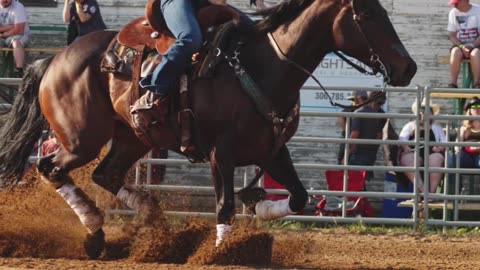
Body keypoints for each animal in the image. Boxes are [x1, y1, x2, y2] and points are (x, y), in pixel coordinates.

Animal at [0, 0, 414, 258]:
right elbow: (224, 205)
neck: (264, 66)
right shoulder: (221, 152)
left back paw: (154, 229)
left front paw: (259, 205)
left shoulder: (272, 150)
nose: (407, 68)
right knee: (51, 168)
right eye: (368, 15)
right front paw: (223, 251)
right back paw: (96, 229)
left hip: (132, 137)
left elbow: (297, 197)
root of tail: (54, 59)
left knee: (106, 174)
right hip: (80, 138)